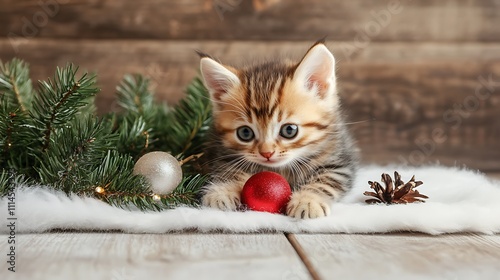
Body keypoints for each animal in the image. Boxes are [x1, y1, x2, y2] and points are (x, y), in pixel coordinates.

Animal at [197, 40, 358, 219]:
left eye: (289, 130)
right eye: (245, 133)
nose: (267, 153)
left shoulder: (339, 161)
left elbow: (326, 180)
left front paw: (308, 201)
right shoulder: (221, 153)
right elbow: (229, 171)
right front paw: (221, 192)